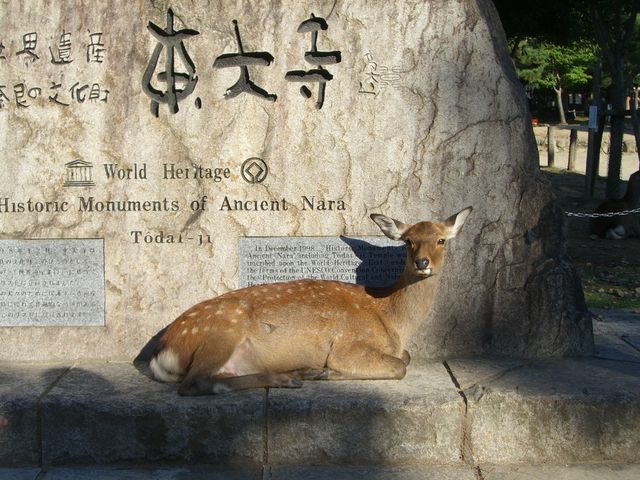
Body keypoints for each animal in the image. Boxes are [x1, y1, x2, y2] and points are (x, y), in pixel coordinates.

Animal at [149, 208, 470, 396]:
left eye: (441, 240)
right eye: (408, 241)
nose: (422, 262)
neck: (391, 318)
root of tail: (163, 351)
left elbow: (406, 357)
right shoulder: (348, 344)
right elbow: (400, 365)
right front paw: (325, 372)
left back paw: (293, 374)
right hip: (223, 329)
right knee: (195, 383)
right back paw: (292, 378)